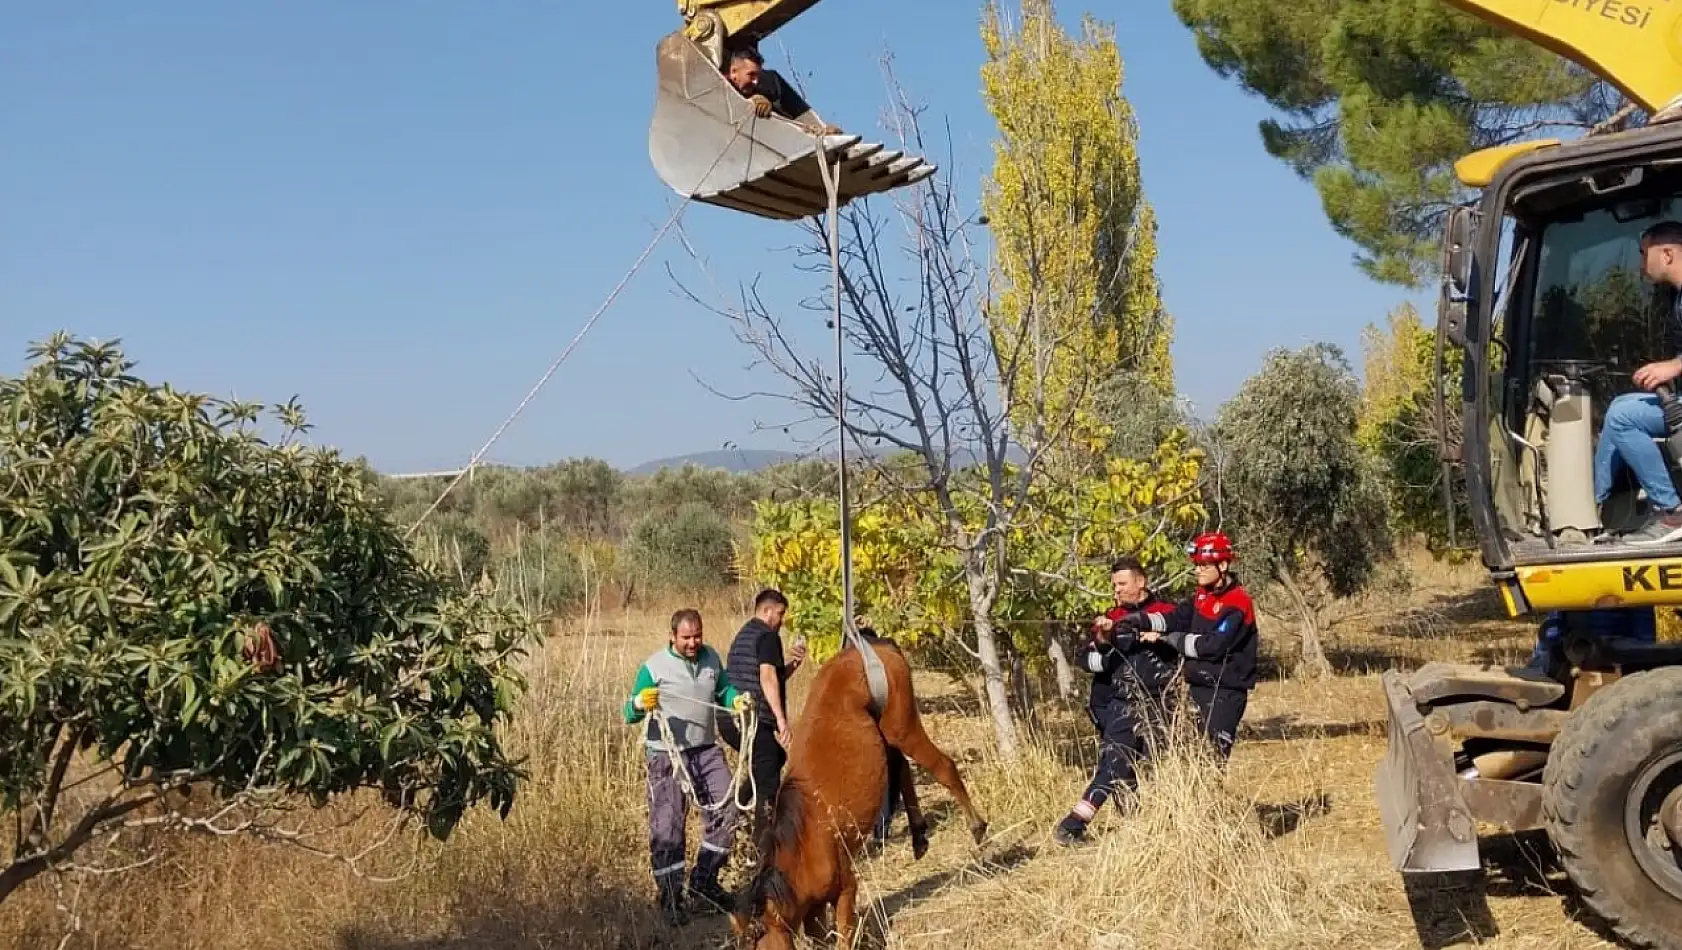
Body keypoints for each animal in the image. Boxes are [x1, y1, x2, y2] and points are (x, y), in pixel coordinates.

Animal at [726, 628, 982, 948]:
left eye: (755, 938)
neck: (804, 847)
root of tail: (870, 644)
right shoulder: (812, 911)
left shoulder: (846, 889)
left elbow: (844, 937)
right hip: (886, 731)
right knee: (902, 767)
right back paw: (919, 836)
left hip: (902, 725)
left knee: (943, 767)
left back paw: (977, 827)